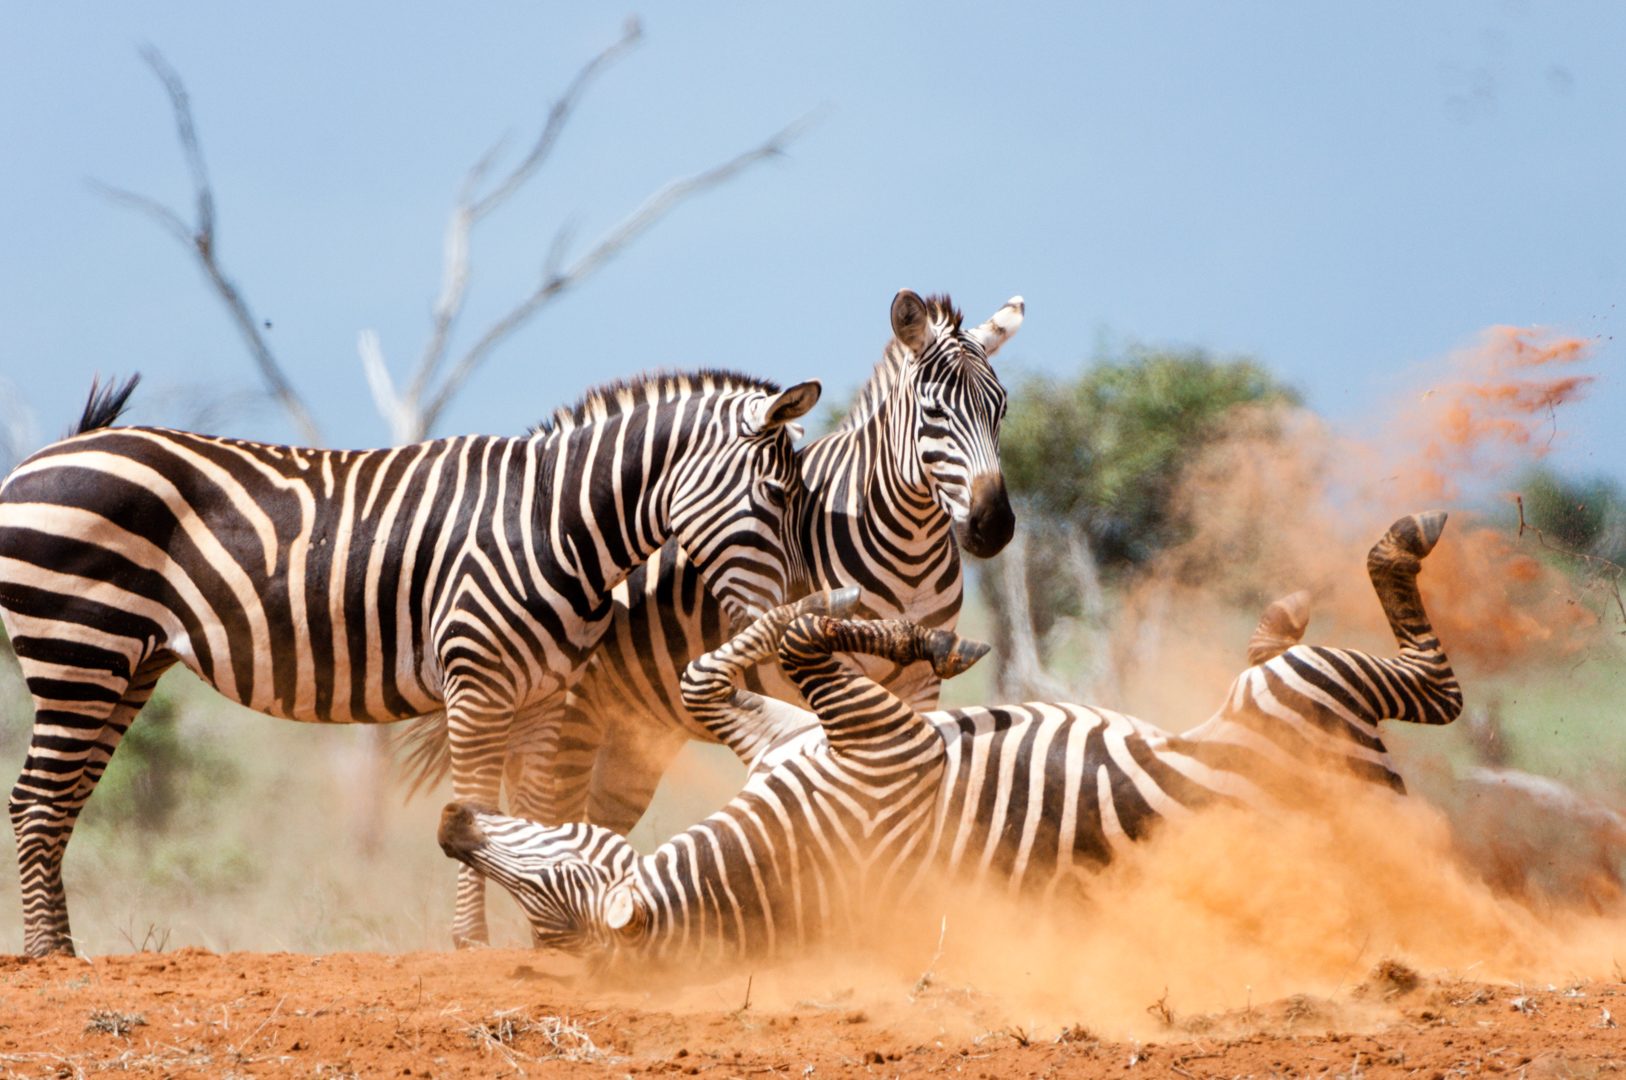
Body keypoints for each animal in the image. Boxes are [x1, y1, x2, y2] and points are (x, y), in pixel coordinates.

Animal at [0, 369, 819, 956]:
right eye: (776, 496)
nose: (795, 611)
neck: (552, 523)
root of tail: (43, 459)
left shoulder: (543, 695)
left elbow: (536, 814)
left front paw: (550, 936)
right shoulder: (479, 683)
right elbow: (478, 801)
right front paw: (473, 941)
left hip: (126, 666)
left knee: (64, 798)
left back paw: (63, 943)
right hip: (77, 650)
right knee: (36, 798)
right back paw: (48, 956)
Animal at [409, 289, 1014, 832]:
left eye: (1002, 408)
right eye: (933, 413)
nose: (995, 525)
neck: (909, 555)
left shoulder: (924, 686)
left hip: (628, 739)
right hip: (568, 716)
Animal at [439, 510, 1469, 962]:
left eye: (546, 868)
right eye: (543, 896)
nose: (450, 827)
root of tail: (1386, 814)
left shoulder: (791, 737)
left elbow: (712, 671)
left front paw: (866, 616)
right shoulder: (883, 741)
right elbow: (796, 650)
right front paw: (883, 622)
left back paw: (1275, 615)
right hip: (1306, 699)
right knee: (1435, 689)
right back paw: (1391, 549)